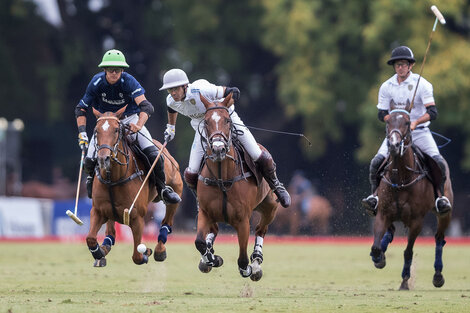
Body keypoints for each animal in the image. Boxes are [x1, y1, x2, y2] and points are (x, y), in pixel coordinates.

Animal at [85, 107, 183, 266]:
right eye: (96, 131)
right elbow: (90, 238)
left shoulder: (137, 217)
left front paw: (146, 252)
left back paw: (159, 250)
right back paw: (105, 247)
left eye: (116, 130)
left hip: (177, 189)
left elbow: (137, 256)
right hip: (109, 211)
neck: (114, 179)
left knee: (167, 220)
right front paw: (99, 253)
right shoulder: (98, 211)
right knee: (110, 231)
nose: (103, 158)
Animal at [195, 93, 280, 280]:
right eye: (206, 121)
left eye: (227, 120)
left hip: (270, 206)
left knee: (261, 229)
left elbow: (242, 260)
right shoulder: (204, 213)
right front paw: (212, 259)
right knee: (214, 230)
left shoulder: (242, 221)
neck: (222, 179)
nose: (218, 149)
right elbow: (199, 242)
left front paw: (249, 269)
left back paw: (256, 262)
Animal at [370, 101, 454, 288]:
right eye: (388, 121)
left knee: (439, 239)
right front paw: (379, 258)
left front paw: (405, 281)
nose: (394, 145)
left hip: (444, 213)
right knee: (391, 231)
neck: (400, 177)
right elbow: (376, 247)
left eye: (408, 123)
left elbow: (408, 252)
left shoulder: (417, 221)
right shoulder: (382, 213)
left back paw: (438, 276)